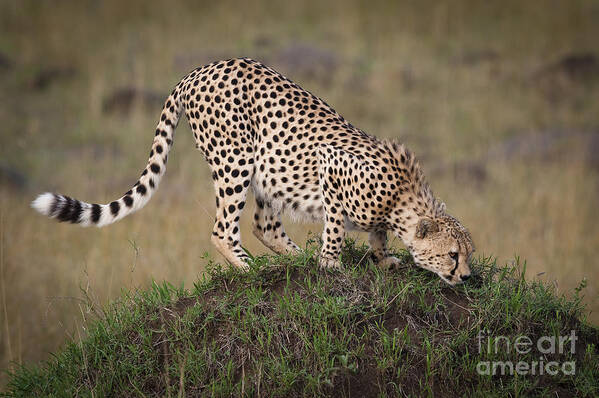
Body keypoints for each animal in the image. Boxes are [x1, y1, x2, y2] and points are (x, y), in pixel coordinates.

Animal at [32, 57, 476, 284]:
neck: (403, 195)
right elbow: (335, 227)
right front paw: (331, 263)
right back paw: (251, 267)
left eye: (469, 254)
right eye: (452, 255)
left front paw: (383, 259)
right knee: (223, 229)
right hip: (235, 161)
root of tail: (198, 69)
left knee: (265, 226)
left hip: (268, 172)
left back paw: (295, 259)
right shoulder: (331, 169)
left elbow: (377, 235)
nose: (467, 277)